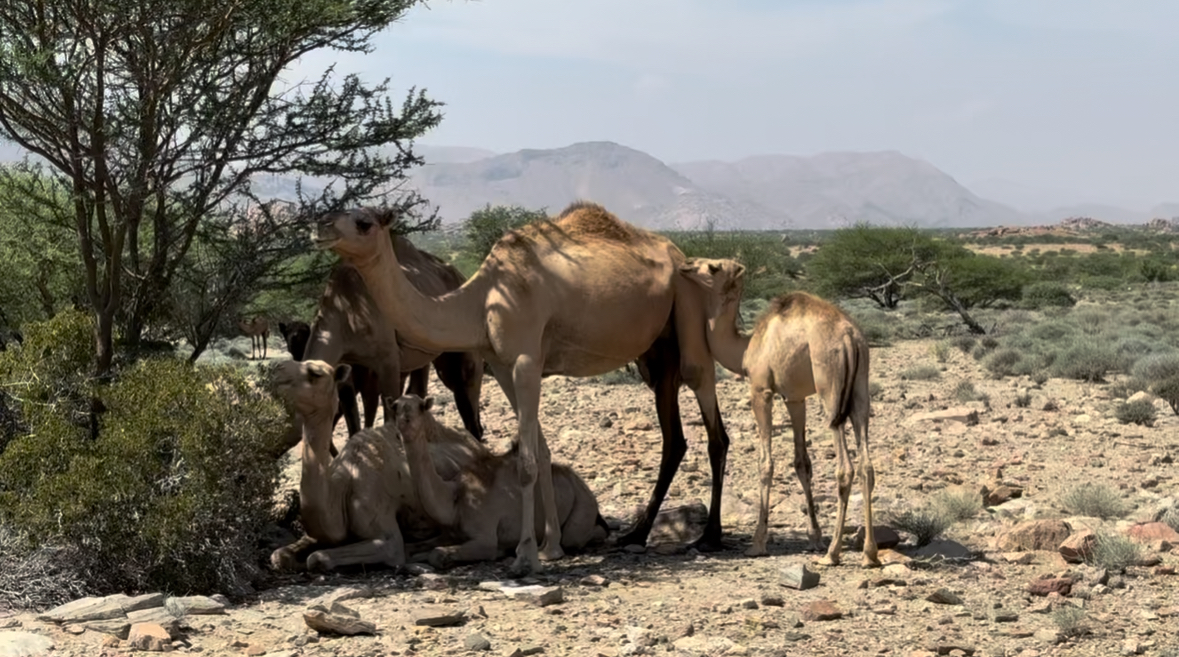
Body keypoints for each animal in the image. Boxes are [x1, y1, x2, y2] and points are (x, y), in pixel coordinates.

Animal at [269, 358, 487, 572]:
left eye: (315, 373)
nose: (276, 368)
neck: (342, 488)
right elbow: (279, 555)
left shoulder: (383, 529)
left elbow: (318, 558)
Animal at [394, 393, 608, 568]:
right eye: (395, 405)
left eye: (420, 407)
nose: (403, 422)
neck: (455, 498)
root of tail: (584, 487)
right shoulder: (449, 533)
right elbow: (409, 549)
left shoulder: (485, 537)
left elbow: (437, 554)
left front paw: (500, 551)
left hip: (582, 507)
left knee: (578, 536)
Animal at [679, 258, 879, 567]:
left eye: (713, 267)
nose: (686, 264)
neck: (745, 347)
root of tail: (849, 337)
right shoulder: (794, 398)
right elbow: (802, 463)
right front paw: (814, 538)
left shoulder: (761, 389)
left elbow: (766, 463)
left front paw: (757, 543)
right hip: (860, 390)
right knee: (866, 465)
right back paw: (869, 554)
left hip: (829, 389)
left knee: (845, 467)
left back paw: (833, 554)